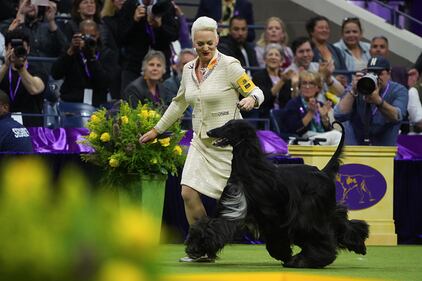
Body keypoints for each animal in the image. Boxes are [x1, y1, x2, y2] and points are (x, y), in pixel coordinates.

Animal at [185, 118, 370, 266]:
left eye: (229, 126)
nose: (209, 132)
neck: (249, 169)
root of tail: (323, 172)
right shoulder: (238, 207)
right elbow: (209, 224)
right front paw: (195, 246)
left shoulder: (269, 214)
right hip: (324, 210)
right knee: (341, 222)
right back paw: (359, 244)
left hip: (310, 213)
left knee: (320, 235)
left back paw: (305, 260)